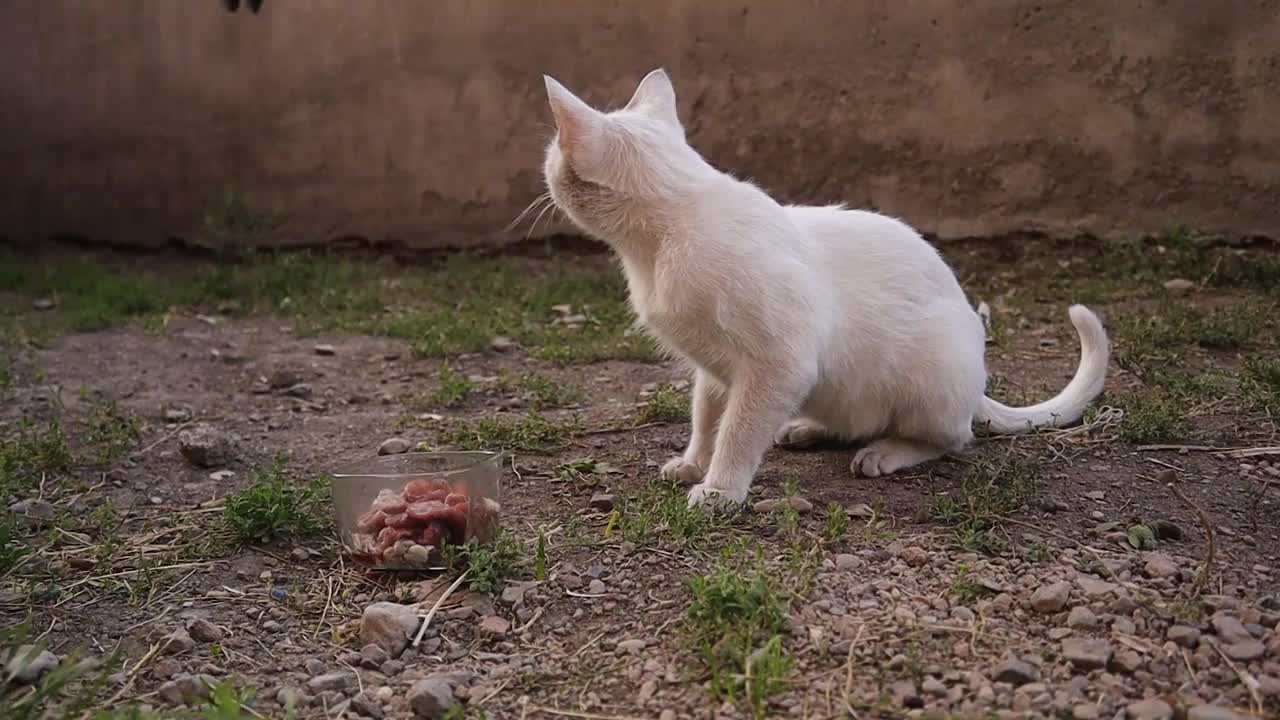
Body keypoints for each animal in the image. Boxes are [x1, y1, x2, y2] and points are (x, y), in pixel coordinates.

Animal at [540, 67, 1111, 504]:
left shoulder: (778, 363)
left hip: (928, 378)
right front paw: (693, 463)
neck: (660, 242)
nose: (544, 171)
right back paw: (806, 429)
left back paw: (885, 452)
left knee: (953, 438)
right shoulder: (716, 367)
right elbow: (707, 419)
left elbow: (738, 431)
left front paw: (721, 489)